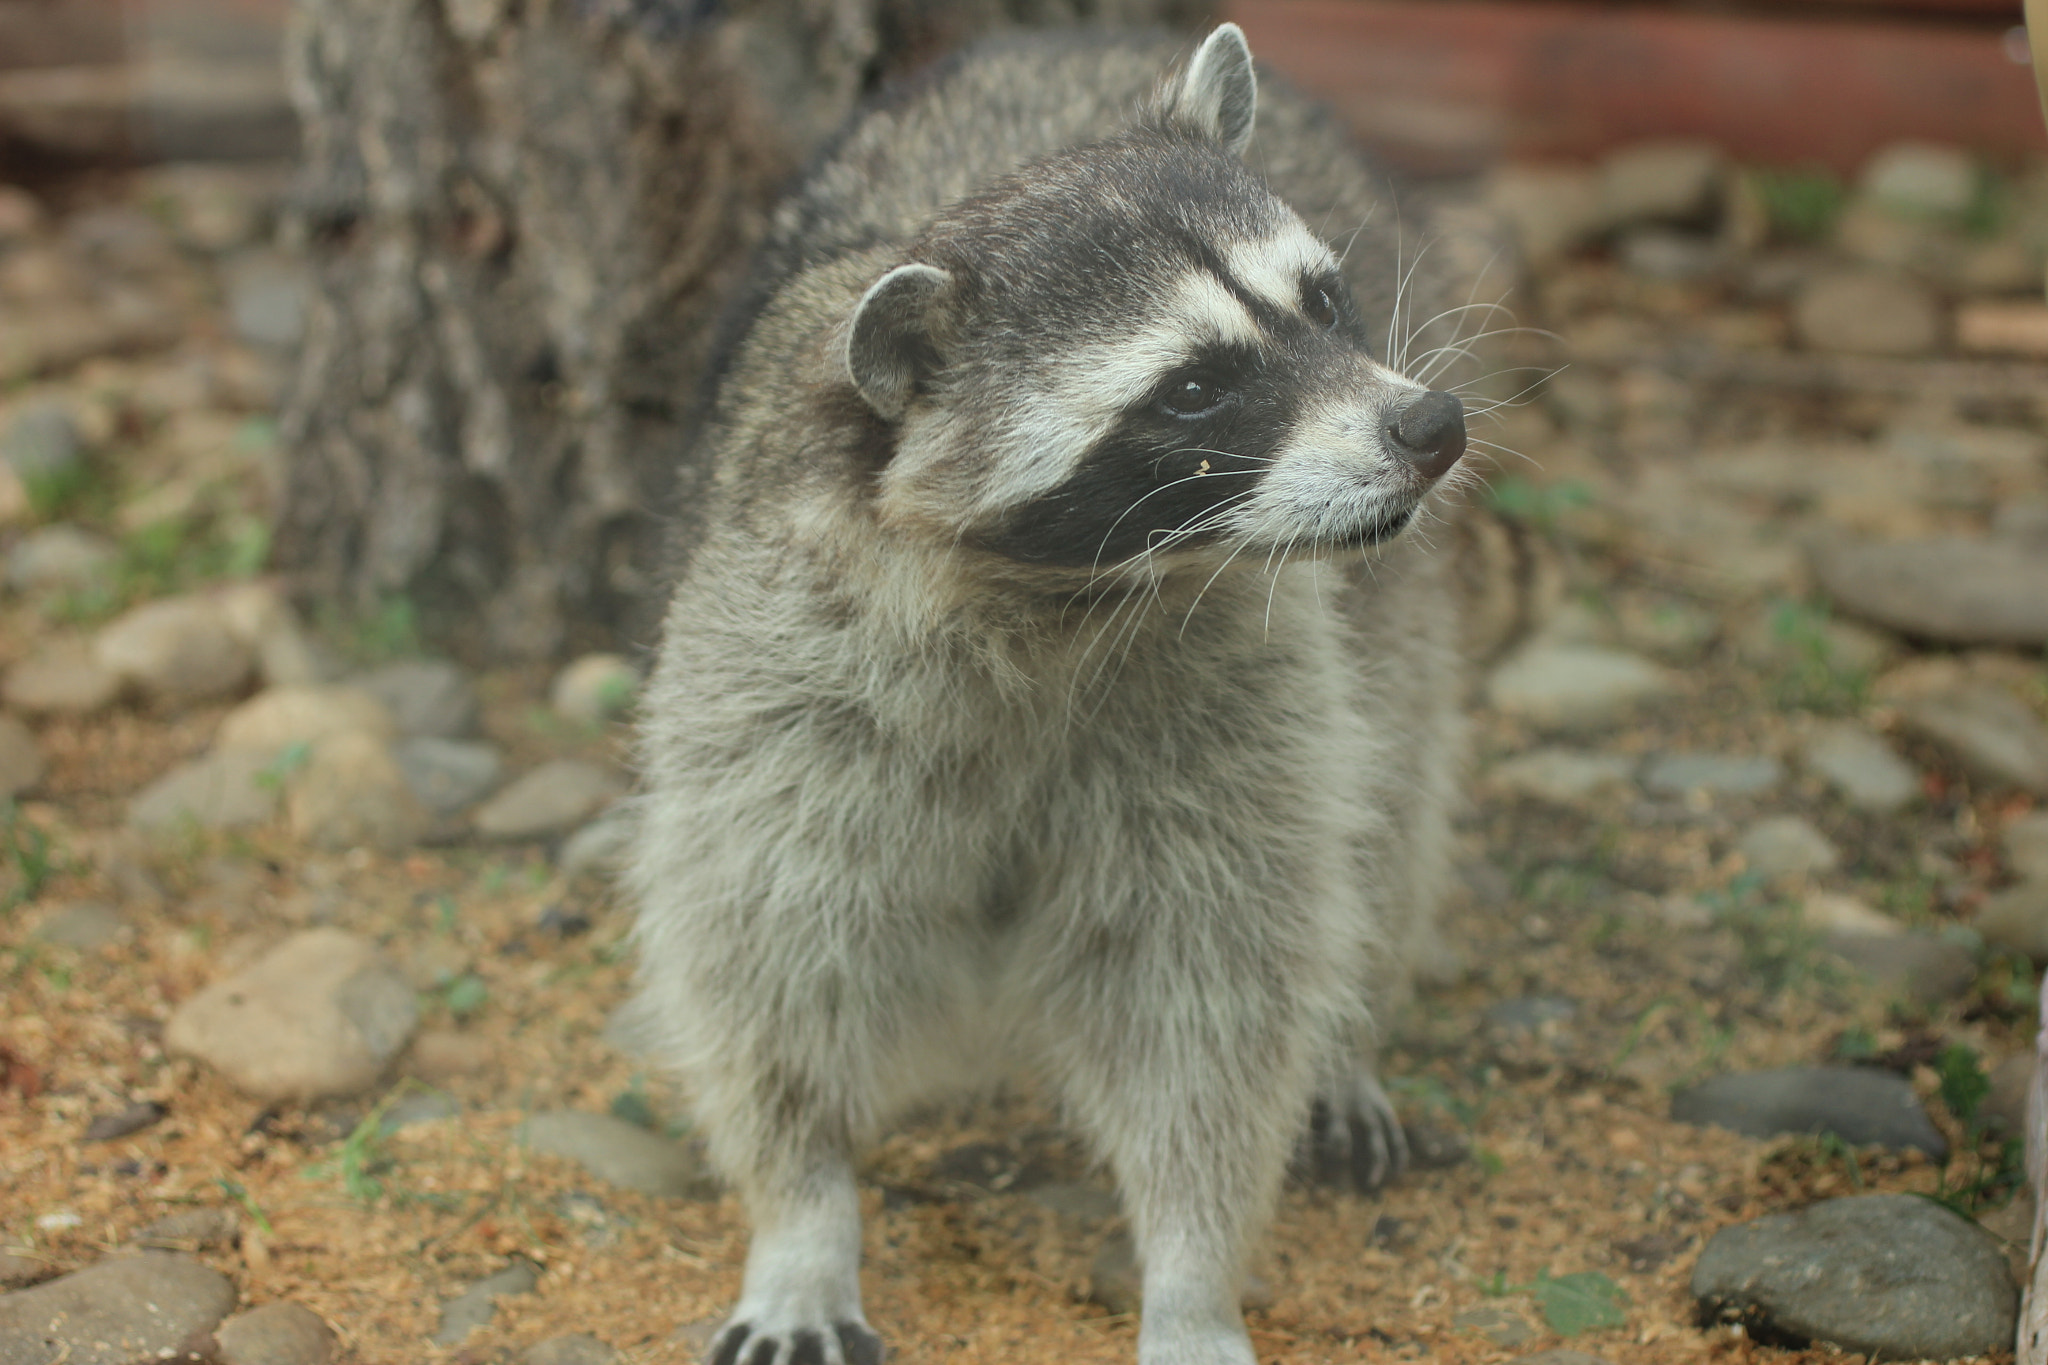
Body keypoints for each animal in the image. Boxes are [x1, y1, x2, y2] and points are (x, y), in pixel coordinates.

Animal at [630, 24, 1499, 1365]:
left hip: (1388, 614)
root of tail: (1085, 32)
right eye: (1191, 390)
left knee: (1389, 784)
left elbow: (1204, 988)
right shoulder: (780, 660)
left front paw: (1192, 1269)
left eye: (1319, 300)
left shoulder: (1232, 685)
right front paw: (802, 1211)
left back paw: (1348, 1035)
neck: (1066, 593)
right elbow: (769, 952)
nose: (1430, 425)